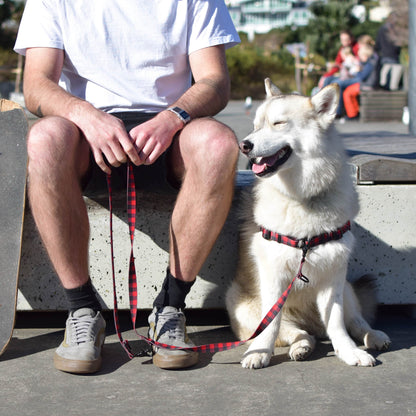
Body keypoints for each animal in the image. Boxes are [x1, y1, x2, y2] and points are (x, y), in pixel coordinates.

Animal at [226, 79, 392, 368]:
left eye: (278, 123)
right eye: (256, 125)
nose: (243, 145)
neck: (302, 199)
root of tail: (311, 323)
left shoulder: (334, 273)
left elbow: (337, 323)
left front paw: (349, 351)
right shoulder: (273, 275)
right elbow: (270, 326)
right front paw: (260, 352)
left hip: (347, 288)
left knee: (356, 321)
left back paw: (374, 336)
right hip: (239, 303)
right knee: (297, 333)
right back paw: (301, 347)